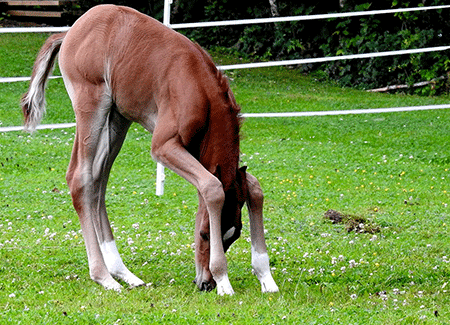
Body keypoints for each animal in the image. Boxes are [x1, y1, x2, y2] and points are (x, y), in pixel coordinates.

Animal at [22, 3, 280, 294]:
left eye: (234, 235)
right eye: (204, 233)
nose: (205, 283)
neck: (200, 89)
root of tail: (69, 32)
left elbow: (254, 187)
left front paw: (266, 278)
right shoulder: (164, 146)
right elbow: (212, 189)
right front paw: (224, 280)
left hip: (118, 118)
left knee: (98, 181)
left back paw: (124, 273)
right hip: (91, 104)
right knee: (80, 177)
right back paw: (104, 277)